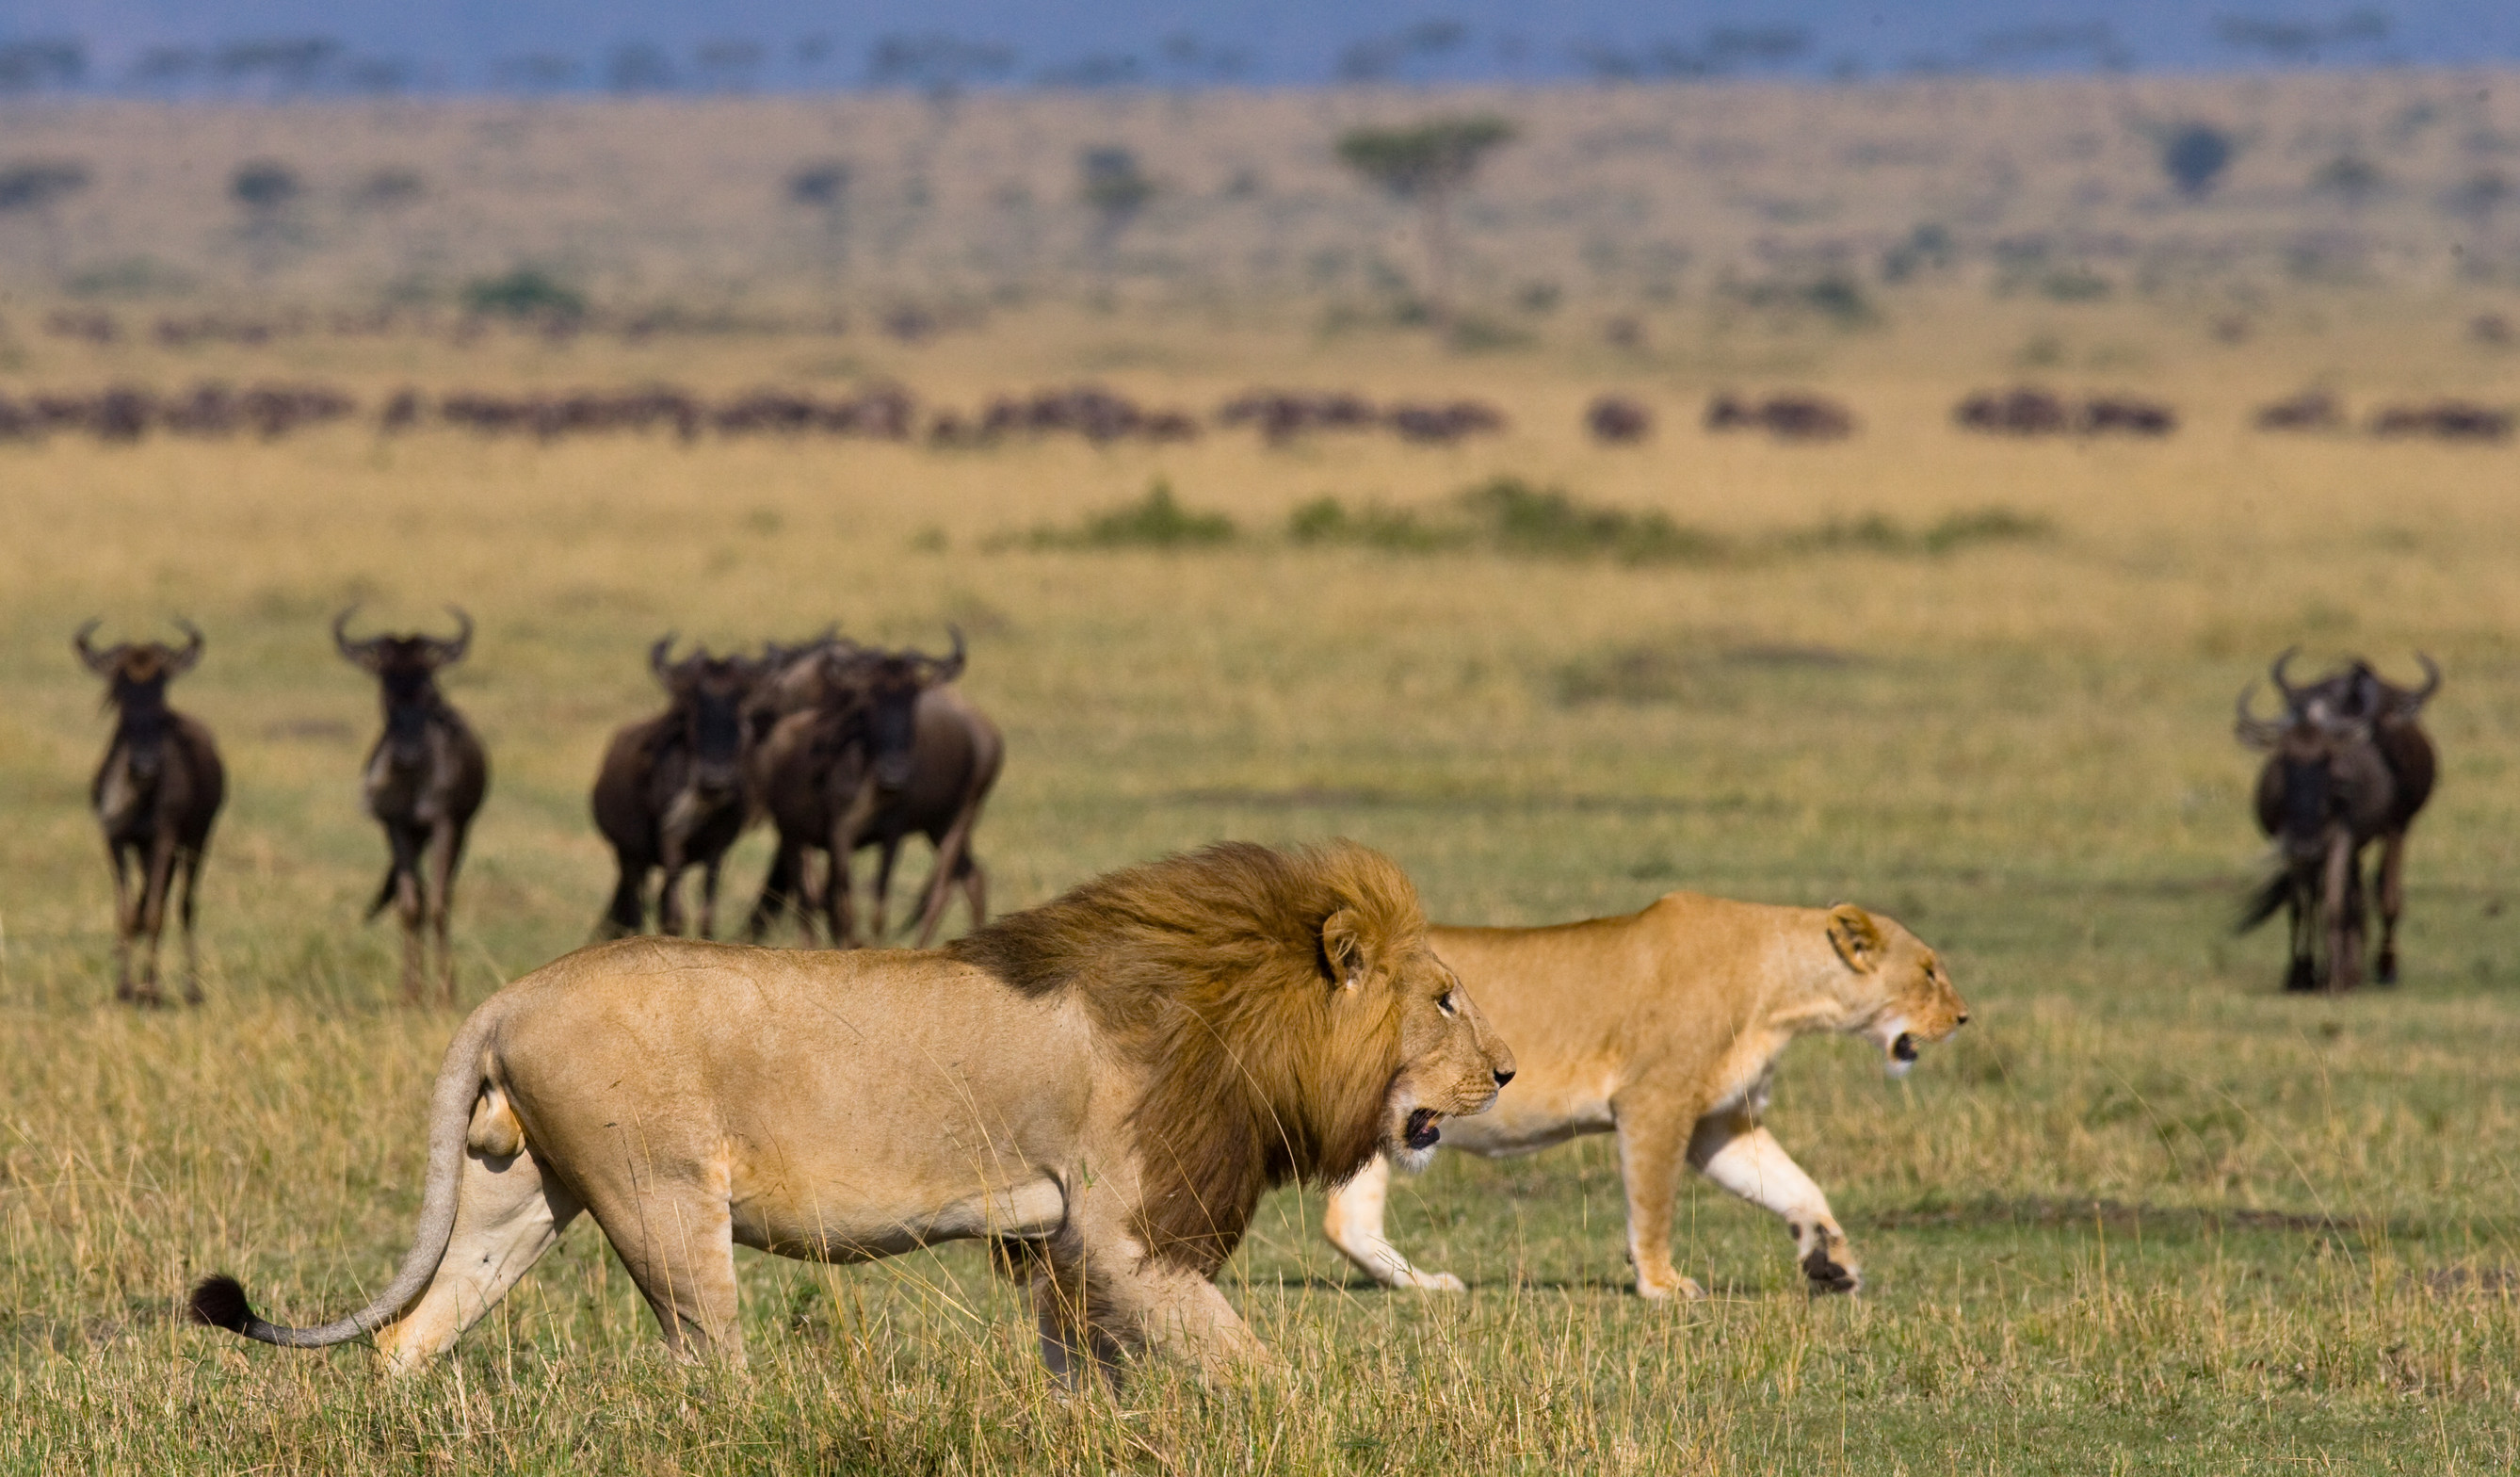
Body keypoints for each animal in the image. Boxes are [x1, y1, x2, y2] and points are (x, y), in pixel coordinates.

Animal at [191, 841, 1511, 1381]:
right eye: (1445, 997)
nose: (1503, 1071)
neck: (1235, 1011)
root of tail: (512, 991)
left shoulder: (1063, 1241)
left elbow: (1087, 1372)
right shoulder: (1123, 1228)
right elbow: (1250, 1363)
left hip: (521, 1193)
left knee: (412, 1334)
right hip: (664, 1200)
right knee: (706, 1365)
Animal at [1320, 892, 1965, 1290]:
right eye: (1929, 971)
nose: (1963, 1019)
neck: (1782, 993)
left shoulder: (1719, 1122)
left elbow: (1795, 1185)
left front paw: (1830, 1260)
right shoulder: (1657, 1101)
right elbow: (1653, 1203)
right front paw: (1661, 1284)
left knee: (1347, 1223)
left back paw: (1425, 1285)